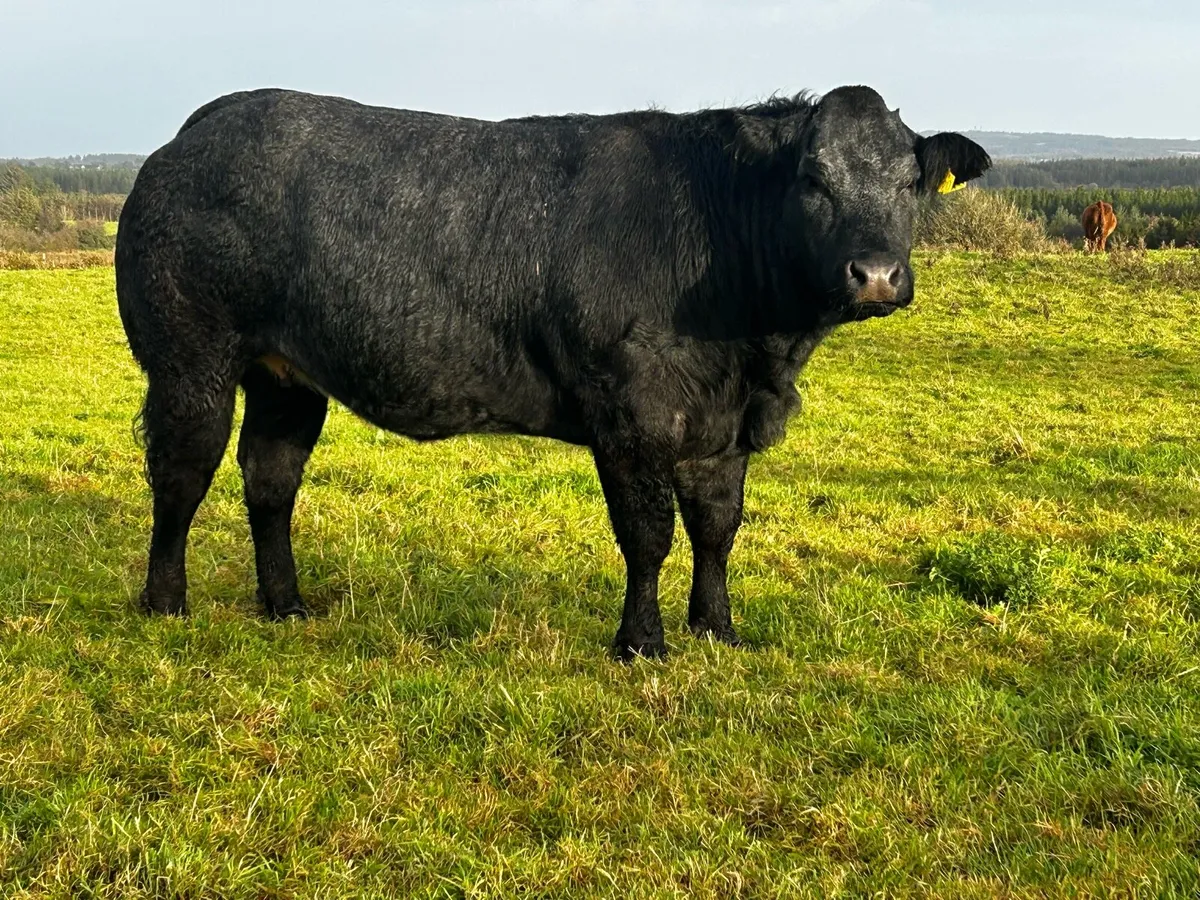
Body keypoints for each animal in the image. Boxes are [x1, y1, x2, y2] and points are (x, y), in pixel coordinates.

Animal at [115, 86, 990, 660]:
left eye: (910, 181)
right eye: (813, 179)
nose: (875, 275)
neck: (756, 351)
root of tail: (200, 129)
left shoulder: (722, 427)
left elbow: (718, 527)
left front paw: (718, 631)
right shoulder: (631, 414)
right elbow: (648, 534)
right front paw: (642, 644)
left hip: (286, 375)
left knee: (270, 478)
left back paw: (287, 605)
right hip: (189, 359)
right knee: (182, 473)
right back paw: (164, 604)